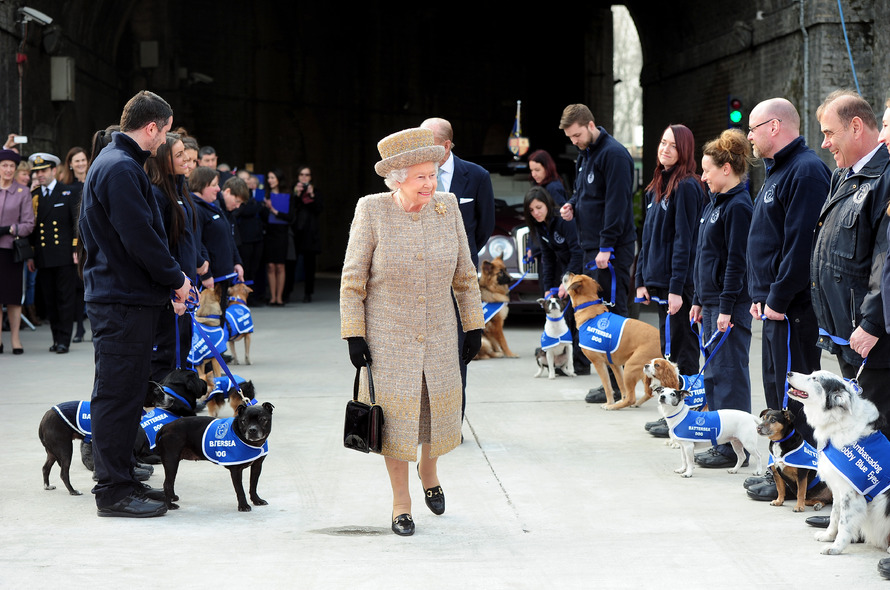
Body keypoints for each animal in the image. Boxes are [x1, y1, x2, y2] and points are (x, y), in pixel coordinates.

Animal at [560, 274, 660, 410]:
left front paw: (610, 403)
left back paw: (614, 407)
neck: (589, 310)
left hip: (631, 366)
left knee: (633, 397)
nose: (569, 272)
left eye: (574, 276)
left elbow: (607, 386)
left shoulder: (599, 363)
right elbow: (621, 385)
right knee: (647, 393)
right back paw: (632, 403)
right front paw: (619, 399)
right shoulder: (615, 365)